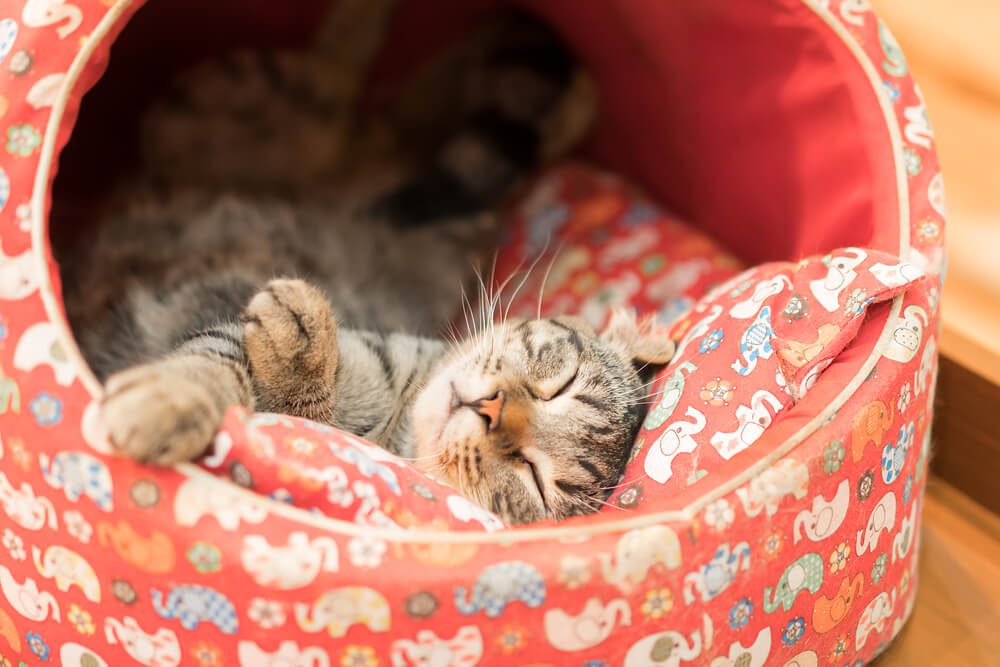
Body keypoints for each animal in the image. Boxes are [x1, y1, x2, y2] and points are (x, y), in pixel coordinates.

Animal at [62, 5, 676, 528]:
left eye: (534, 476)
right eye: (559, 386)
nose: (492, 407)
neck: (398, 411)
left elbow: (293, 408)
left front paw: (297, 364)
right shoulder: (231, 333)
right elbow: (210, 368)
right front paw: (179, 398)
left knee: (351, 89)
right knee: (391, 105)